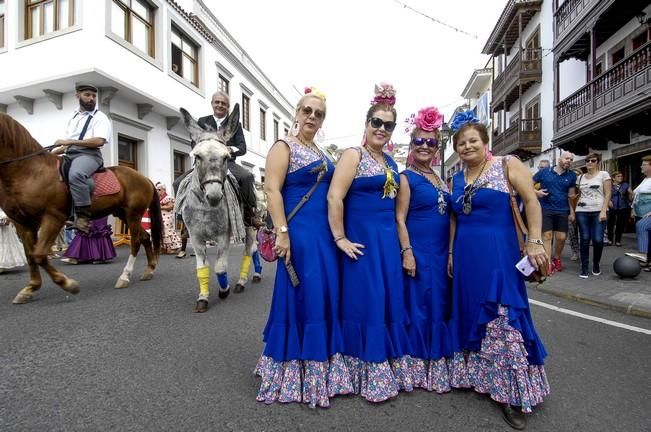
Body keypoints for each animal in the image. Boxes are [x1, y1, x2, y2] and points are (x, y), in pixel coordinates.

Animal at [0, 113, 163, 306]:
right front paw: (31, 288)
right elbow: (30, 255)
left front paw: (68, 284)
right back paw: (149, 270)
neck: (30, 172)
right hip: (123, 214)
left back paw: (124, 277)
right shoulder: (22, 223)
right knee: (145, 238)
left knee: (136, 241)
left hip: (134, 215)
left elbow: (39, 254)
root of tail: (144, 178)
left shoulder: (53, 218)